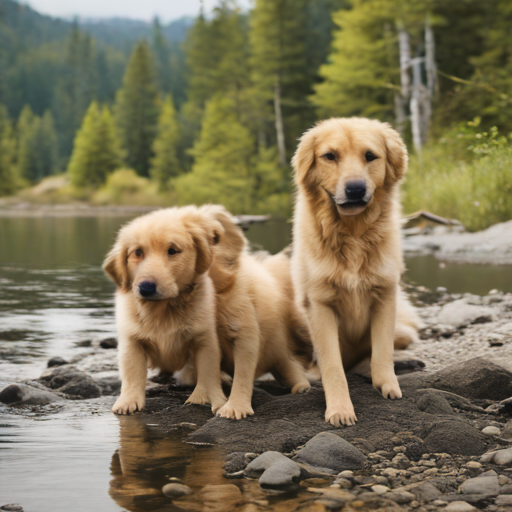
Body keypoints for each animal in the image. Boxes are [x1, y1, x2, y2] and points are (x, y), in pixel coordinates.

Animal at [102, 207, 226, 416]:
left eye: (172, 250)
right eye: (137, 252)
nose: (146, 288)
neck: (162, 310)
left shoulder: (205, 338)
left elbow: (208, 371)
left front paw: (210, 398)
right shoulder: (131, 341)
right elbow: (132, 373)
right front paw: (128, 401)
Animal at [290, 118, 422, 426]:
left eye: (370, 156)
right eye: (330, 156)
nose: (355, 189)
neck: (352, 235)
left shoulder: (385, 295)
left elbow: (382, 352)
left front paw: (388, 385)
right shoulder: (319, 305)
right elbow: (332, 366)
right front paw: (340, 409)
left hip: (404, 330)